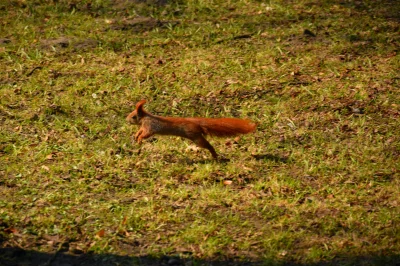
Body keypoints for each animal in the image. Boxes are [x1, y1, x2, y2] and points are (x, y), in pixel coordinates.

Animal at [126, 99, 256, 158]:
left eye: (133, 116)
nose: (126, 120)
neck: (144, 118)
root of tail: (195, 122)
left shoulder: (150, 125)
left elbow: (146, 134)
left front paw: (139, 139)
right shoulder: (144, 126)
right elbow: (140, 131)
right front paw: (136, 136)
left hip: (195, 136)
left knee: (207, 145)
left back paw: (214, 155)